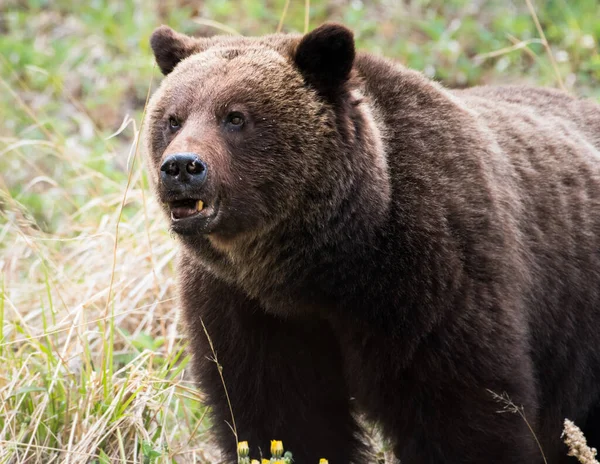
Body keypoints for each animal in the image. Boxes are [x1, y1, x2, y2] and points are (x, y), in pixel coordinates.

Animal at [143, 23, 600, 464]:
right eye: (173, 118)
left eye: (236, 117)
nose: (182, 167)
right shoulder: (245, 308)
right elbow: (280, 415)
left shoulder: (435, 282)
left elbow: (464, 416)